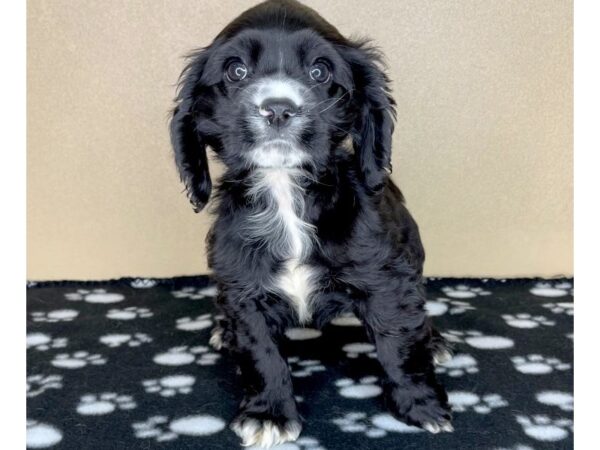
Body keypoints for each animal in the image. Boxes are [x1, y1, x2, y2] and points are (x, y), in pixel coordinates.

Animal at [169, 0, 450, 444]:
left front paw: (421, 406)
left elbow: (399, 342)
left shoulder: (387, 280)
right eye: (236, 71)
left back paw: (434, 341)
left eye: (320, 72)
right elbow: (262, 355)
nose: (278, 107)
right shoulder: (243, 289)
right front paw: (269, 414)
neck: (286, 191)